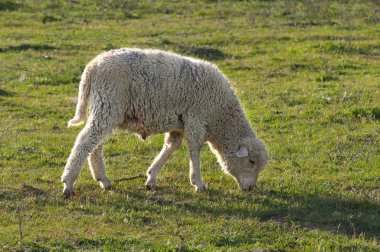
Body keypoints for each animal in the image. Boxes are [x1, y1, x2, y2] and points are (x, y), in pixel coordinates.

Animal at [60, 47, 268, 195]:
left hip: (107, 110)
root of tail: (92, 67)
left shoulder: (179, 124)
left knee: (95, 144)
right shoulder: (195, 119)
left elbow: (171, 147)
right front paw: (198, 183)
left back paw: (103, 180)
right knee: (86, 140)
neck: (221, 117)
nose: (251, 188)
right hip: (108, 104)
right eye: (251, 161)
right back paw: (69, 182)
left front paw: (151, 178)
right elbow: (195, 149)